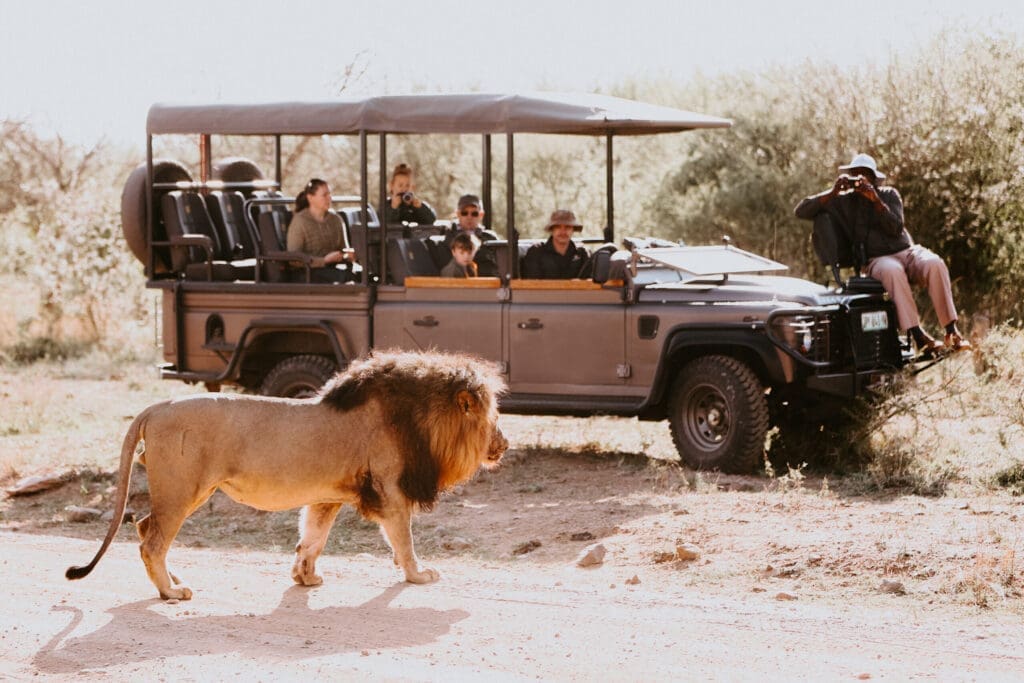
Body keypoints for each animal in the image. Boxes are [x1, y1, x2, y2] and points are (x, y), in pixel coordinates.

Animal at [66, 350, 508, 600]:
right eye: (493, 418)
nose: (504, 444)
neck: (423, 419)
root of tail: (156, 407)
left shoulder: (328, 495)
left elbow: (312, 538)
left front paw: (305, 578)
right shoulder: (390, 491)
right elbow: (404, 541)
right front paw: (419, 575)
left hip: (183, 491)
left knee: (143, 527)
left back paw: (171, 579)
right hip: (181, 489)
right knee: (152, 540)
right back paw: (171, 591)